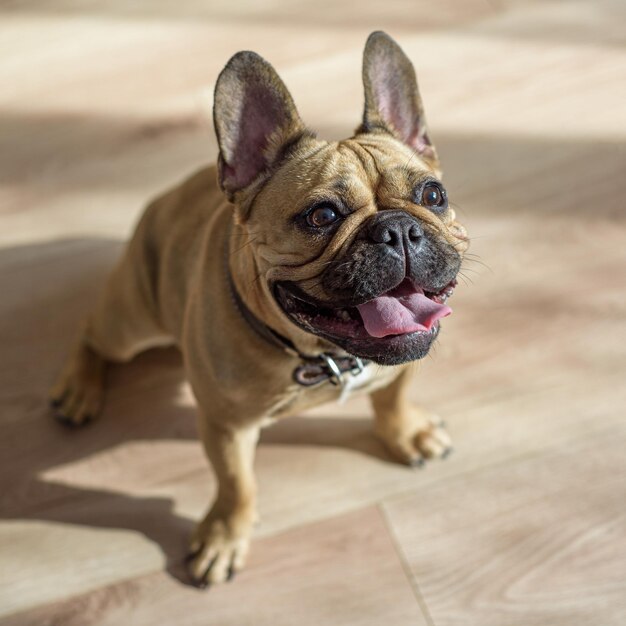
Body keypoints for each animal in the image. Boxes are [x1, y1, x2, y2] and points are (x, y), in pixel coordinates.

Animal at [50, 30, 468, 584]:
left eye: (433, 194)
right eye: (321, 215)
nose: (398, 229)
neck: (324, 356)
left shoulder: (399, 366)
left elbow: (392, 398)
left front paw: (405, 433)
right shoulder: (226, 427)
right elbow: (237, 484)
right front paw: (225, 537)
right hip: (133, 321)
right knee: (92, 331)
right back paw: (78, 389)